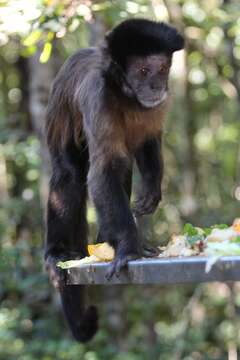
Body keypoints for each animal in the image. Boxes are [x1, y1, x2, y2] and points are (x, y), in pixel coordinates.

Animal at [45, 17, 184, 344]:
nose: (156, 85)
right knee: (70, 176)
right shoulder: (99, 98)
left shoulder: (158, 104)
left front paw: (151, 190)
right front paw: (129, 248)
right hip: (58, 131)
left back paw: (105, 237)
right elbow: (102, 172)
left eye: (162, 68)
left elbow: (148, 139)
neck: (125, 95)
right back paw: (58, 252)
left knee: (124, 165)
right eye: (143, 71)